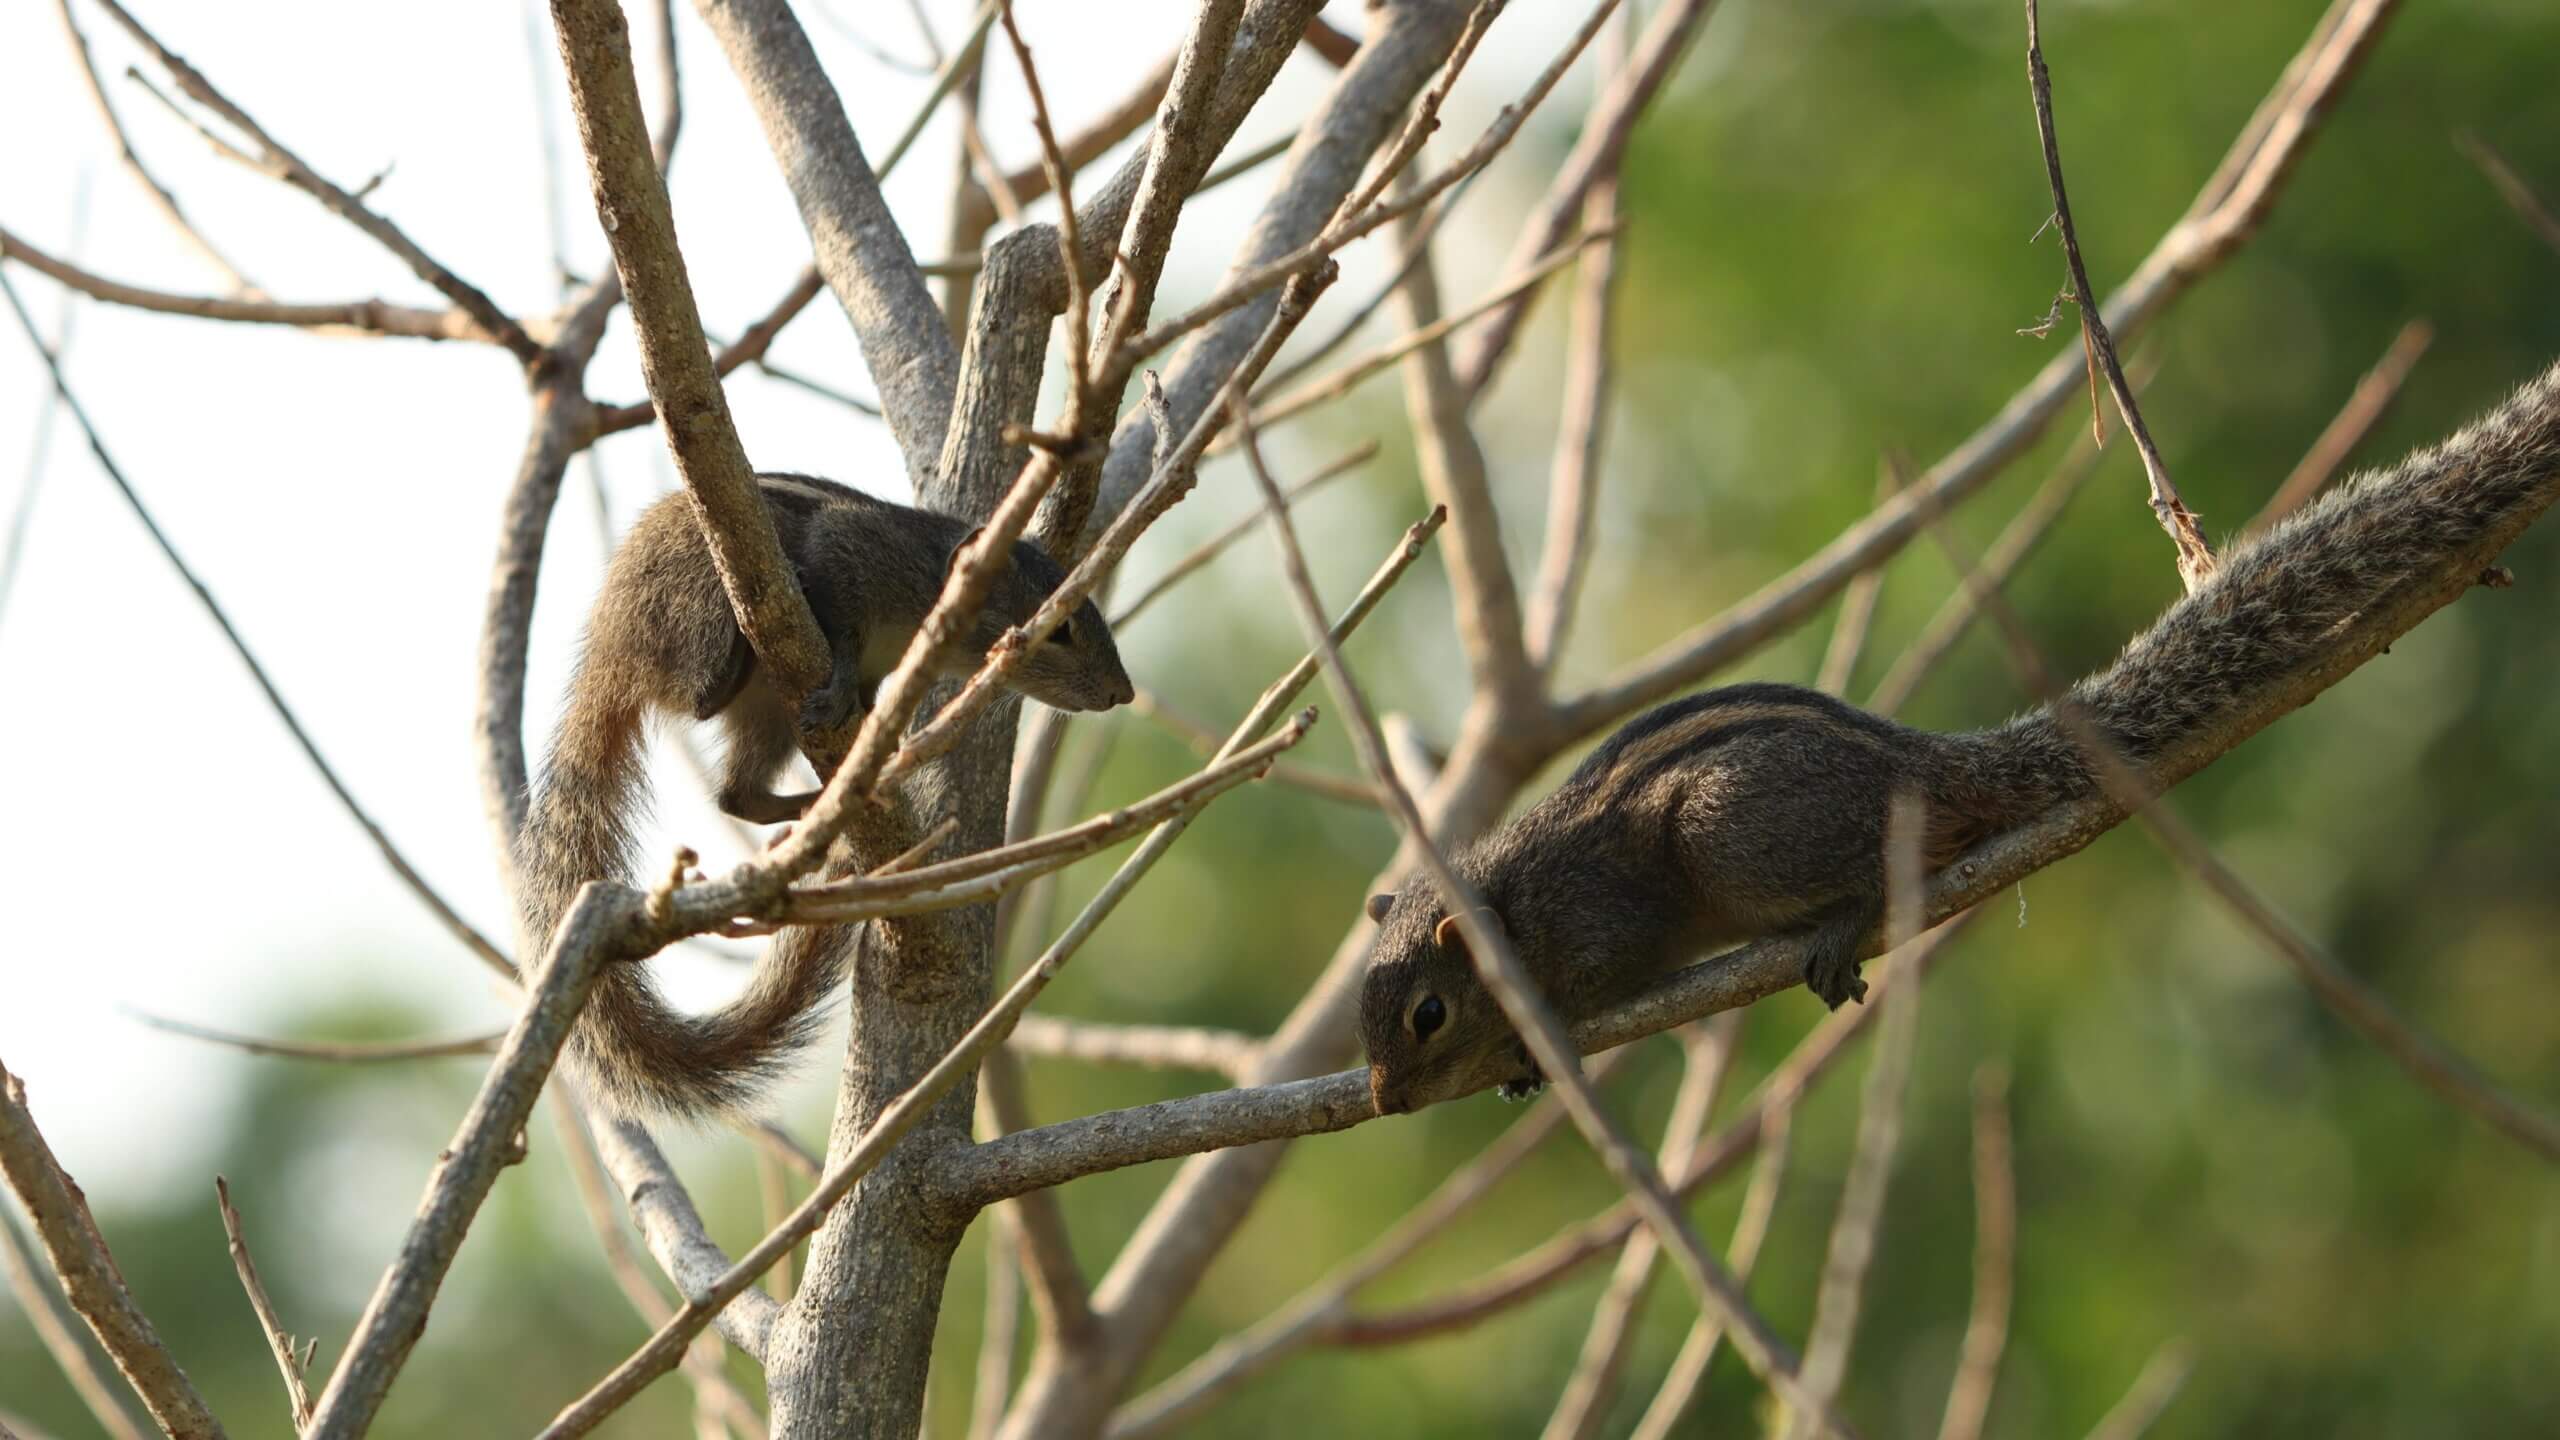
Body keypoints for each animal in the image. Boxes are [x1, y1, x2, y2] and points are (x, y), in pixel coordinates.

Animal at [519, 472, 1135, 1118]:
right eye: (1059, 628)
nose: (1124, 692)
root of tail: (608, 651)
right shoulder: (849, 555)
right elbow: (837, 623)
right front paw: (840, 686)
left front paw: (876, 737)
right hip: (696, 605)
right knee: (703, 698)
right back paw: (739, 663)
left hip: (765, 715)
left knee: (736, 796)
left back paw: (823, 805)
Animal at [1361, 359, 2560, 1116]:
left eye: (1428, 1013)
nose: (1382, 1099)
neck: (1506, 899)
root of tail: (1926, 761)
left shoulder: (1595, 918)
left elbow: (1595, 977)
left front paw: (1531, 1037)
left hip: (1730, 831)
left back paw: (1845, 925)